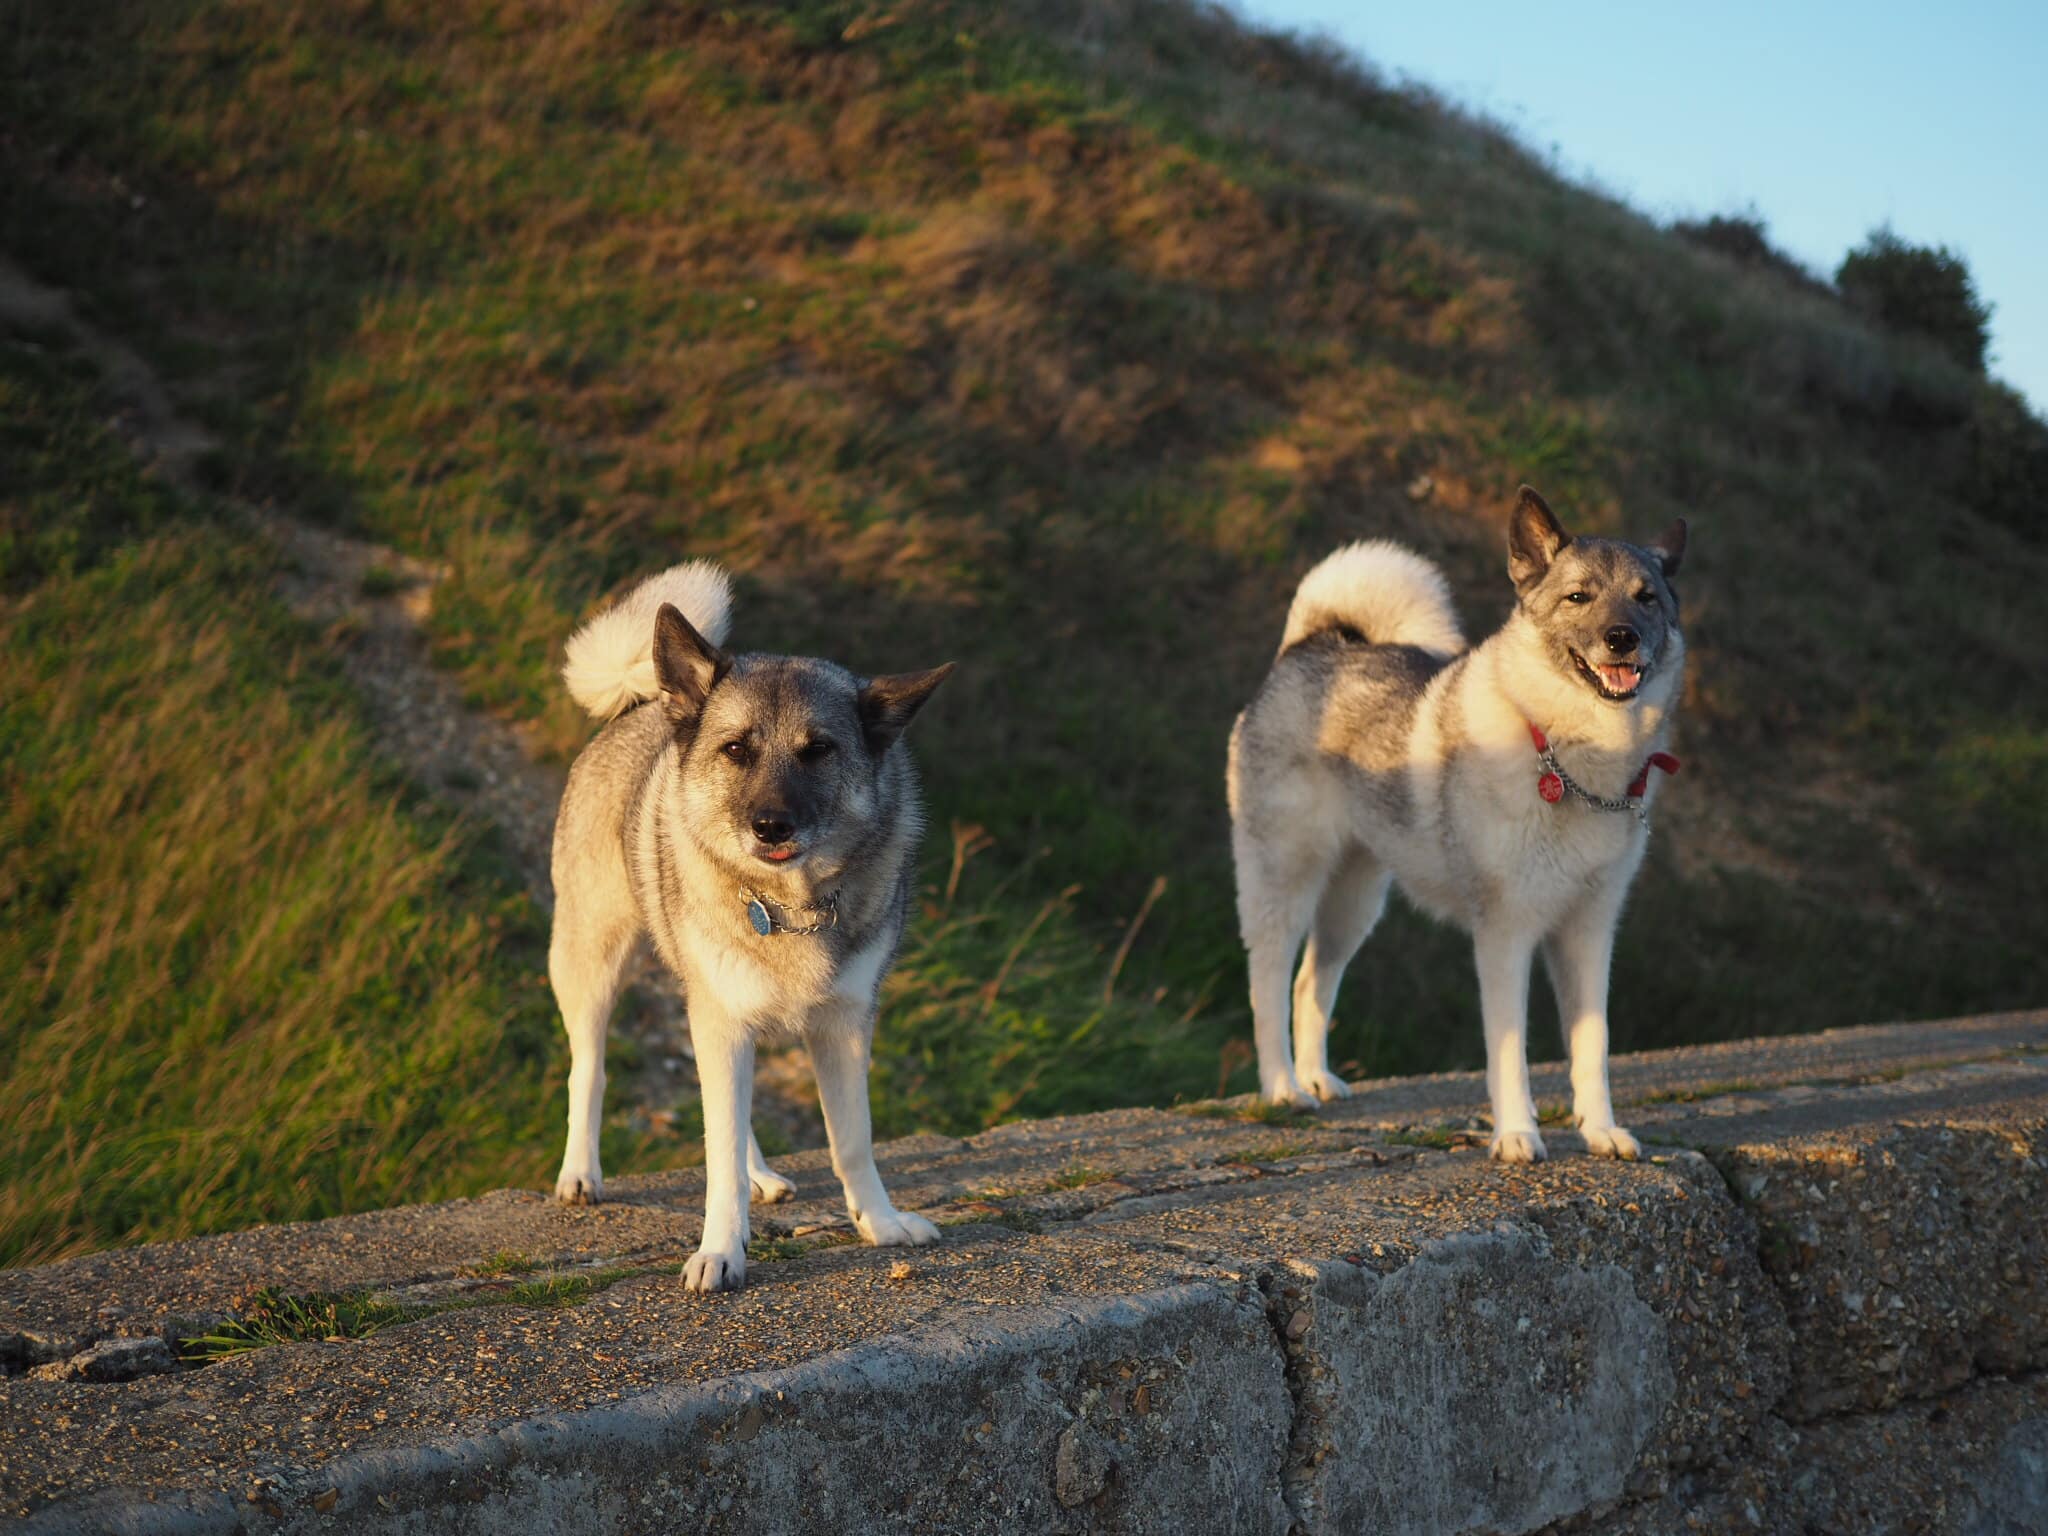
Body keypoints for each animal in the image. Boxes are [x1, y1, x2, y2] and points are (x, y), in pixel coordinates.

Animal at [548, 561, 954, 1286]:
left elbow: (851, 1141)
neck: (789, 905)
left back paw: (761, 1173)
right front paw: (720, 1251)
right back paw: (580, 1174)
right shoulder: (723, 1019)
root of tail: (642, 704)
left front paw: (880, 1225)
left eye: (818, 751)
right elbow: (718, 1158)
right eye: (736, 749)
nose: (770, 825)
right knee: (589, 1068)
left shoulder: (841, 1025)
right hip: (593, 964)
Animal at [1220, 487, 1687, 1163]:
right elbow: (1509, 1049)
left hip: (1354, 903)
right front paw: (1517, 1134)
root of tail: (1309, 647)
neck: (1566, 756)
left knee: (1311, 984)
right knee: (1268, 982)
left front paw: (1600, 1130)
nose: (1621, 638)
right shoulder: (1504, 935)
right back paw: (1283, 1088)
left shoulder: (1588, 933)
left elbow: (1591, 1045)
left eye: (1646, 597)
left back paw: (1316, 1078)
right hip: (1284, 884)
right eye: (1578, 597)